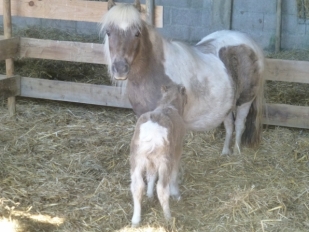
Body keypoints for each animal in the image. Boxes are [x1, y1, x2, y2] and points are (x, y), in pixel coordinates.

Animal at [100, 0, 264, 156]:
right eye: (108, 32)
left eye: (137, 33)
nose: (120, 69)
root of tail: (249, 42)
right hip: (227, 104)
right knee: (230, 125)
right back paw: (225, 152)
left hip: (245, 101)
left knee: (240, 124)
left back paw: (237, 152)